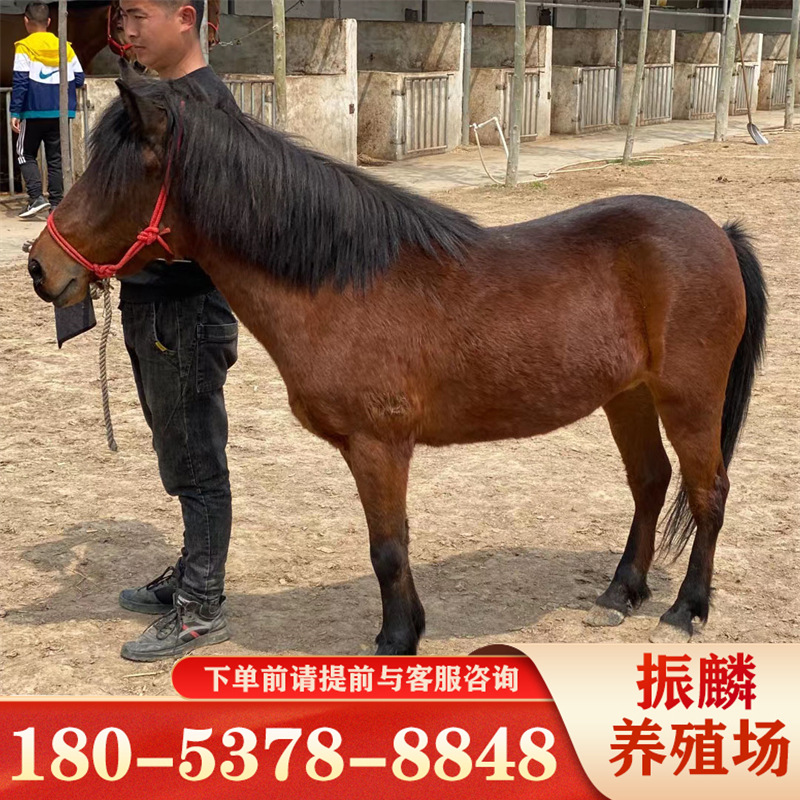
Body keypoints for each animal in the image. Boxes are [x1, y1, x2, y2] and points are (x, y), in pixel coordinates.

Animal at [25, 67, 767, 655]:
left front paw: (396, 638)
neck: (341, 282)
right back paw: (621, 592)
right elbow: (395, 544)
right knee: (650, 483)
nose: (40, 267)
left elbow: (387, 547)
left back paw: (685, 609)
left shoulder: (378, 446)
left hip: (688, 399)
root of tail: (717, 233)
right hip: (627, 395)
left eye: (119, 175)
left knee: (708, 492)